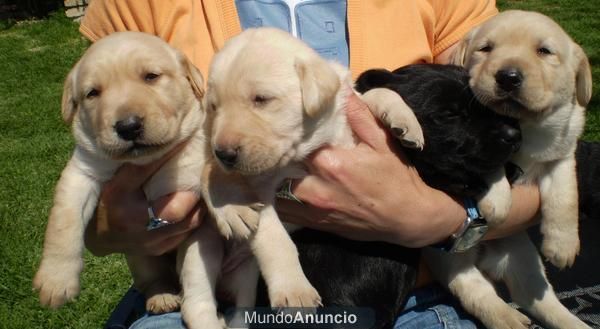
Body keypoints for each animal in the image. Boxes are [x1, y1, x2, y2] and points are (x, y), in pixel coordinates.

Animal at [35, 32, 209, 312]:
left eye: (151, 76)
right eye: (92, 93)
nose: (128, 126)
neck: (146, 159)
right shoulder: (82, 173)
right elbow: (63, 222)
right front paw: (55, 280)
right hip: (139, 255)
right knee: (153, 278)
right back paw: (162, 296)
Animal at [424, 9, 592, 328]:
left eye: (544, 51)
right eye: (485, 48)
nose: (508, 77)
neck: (524, 126)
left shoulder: (563, 152)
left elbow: (565, 194)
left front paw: (563, 244)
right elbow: (491, 163)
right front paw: (498, 201)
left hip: (523, 258)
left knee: (539, 298)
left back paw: (571, 321)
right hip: (447, 257)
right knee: (473, 289)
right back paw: (508, 318)